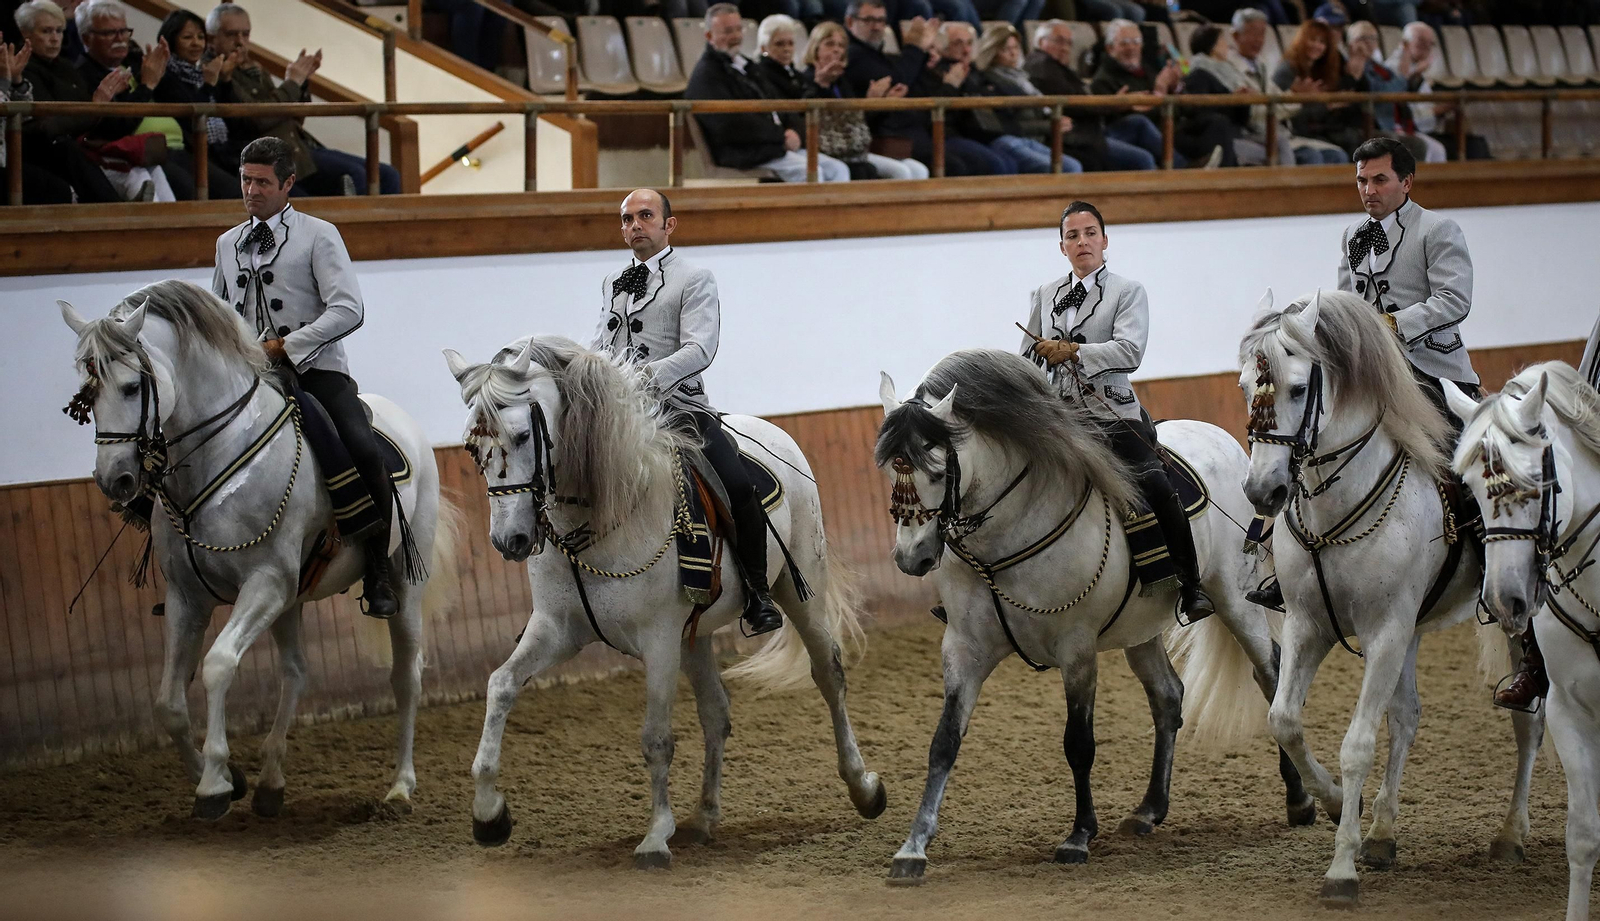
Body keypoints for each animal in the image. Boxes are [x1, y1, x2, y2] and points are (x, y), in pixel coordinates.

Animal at [59, 280, 456, 819]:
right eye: (87, 391)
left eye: (131, 387)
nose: (114, 480)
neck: (220, 455)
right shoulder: (188, 599)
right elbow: (168, 702)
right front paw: (231, 778)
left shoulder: (264, 583)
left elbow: (218, 665)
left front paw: (214, 784)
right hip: (291, 600)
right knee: (296, 672)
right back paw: (270, 781)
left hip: (402, 583)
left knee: (406, 676)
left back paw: (399, 787)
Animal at [443, 336, 885, 869]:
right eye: (472, 446)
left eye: (524, 435)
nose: (509, 540)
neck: (603, 515)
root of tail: (772, 431)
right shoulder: (557, 630)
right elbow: (501, 685)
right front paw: (489, 814)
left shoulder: (657, 640)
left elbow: (656, 737)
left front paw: (655, 836)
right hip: (693, 636)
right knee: (717, 711)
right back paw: (704, 817)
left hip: (800, 592)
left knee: (829, 674)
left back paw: (864, 788)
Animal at [874, 347, 1307, 885]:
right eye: (892, 473)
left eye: (936, 470)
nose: (910, 558)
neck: (1008, 532)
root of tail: (1222, 440)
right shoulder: (964, 649)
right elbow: (944, 742)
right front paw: (913, 847)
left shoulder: (1076, 648)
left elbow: (1078, 743)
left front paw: (1078, 836)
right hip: (1141, 629)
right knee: (1168, 697)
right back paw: (1148, 810)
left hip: (1234, 600)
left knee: (1269, 675)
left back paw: (1300, 800)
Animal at [1238, 288, 1542, 906]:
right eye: (1242, 386)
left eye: (1299, 388)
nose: (1262, 491)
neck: (1335, 508)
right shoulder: (1310, 626)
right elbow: (1284, 720)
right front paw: (1337, 805)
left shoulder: (1384, 633)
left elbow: (1358, 743)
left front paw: (1340, 870)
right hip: (1412, 631)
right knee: (1407, 716)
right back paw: (1381, 833)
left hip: (1512, 619)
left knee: (1528, 720)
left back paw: (1510, 835)